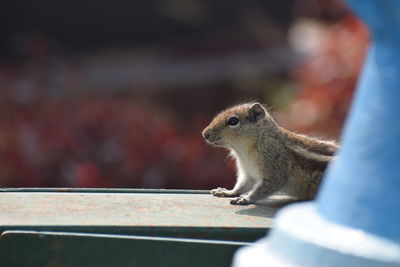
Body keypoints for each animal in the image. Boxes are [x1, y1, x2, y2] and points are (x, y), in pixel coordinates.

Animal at [202, 103, 340, 206]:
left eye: (233, 121)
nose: (205, 134)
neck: (242, 149)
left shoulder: (274, 164)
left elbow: (269, 184)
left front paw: (246, 198)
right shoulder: (248, 172)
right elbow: (242, 185)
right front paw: (228, 192)